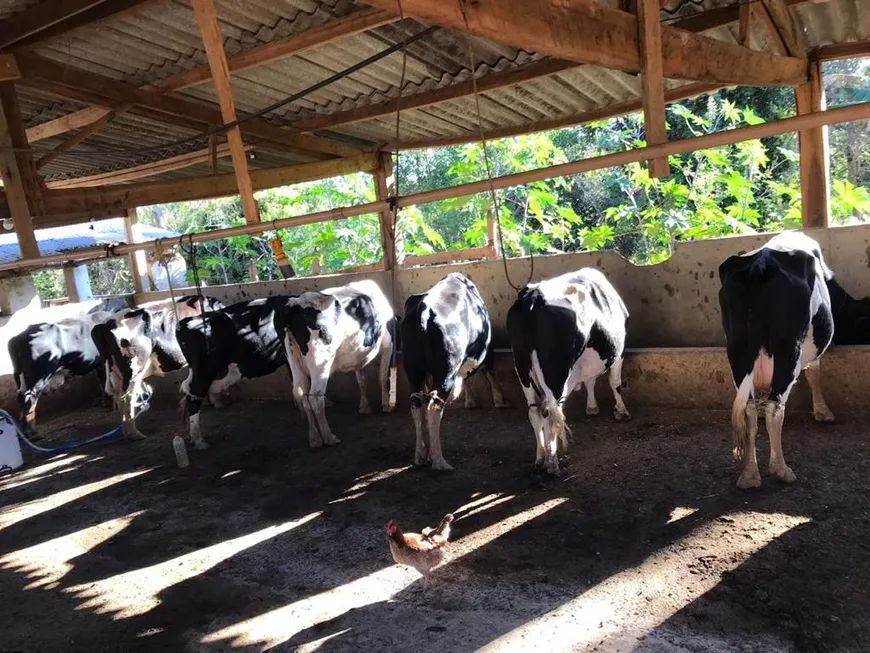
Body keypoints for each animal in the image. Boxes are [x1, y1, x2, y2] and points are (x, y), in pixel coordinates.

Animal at [88, 294, 223, 438]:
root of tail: (105, 323)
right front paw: (215, 401)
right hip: (134, 369)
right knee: (128, 399)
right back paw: (136, 434)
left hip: (115, 371)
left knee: (118, 398)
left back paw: (126, 433)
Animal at [276, 280, 396, 448]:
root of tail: (294, 304)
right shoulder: (388, 344)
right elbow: (382, 377)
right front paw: (386, 405)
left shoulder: (358, 354)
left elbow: (362, 380)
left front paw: (365, 406)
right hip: (321, 364)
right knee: (315, 398)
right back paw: (328, 437)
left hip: (295, 364)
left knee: (303, 396)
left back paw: (314, 438)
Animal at [398, 272, 508, 472]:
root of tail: (423, 308)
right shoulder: (487, 350)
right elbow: (489, 373)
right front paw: (499, 400)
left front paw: (470, 400)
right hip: (445, 372)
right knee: (434, 406)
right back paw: (439, 461)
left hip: (413, 371)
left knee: (417, 404)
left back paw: (421, 455)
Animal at [504, 268, 632, 476]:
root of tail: (533, 297)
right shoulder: (619, 352)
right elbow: (615, 383)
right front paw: (621, 411)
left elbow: (590, 381)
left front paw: (592, 407)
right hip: (556, 374)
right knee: (551, 415)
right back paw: (553, 464)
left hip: (522, 366)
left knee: (535, 413)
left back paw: (541, 458)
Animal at [724, 232, 836, 486]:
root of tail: (760, 263)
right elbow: (814, 372)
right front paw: (823, 412)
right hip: (789, 349)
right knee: (775, 407)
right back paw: (781, 469)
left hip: (736, 350)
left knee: (749, 409)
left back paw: (749, 475)